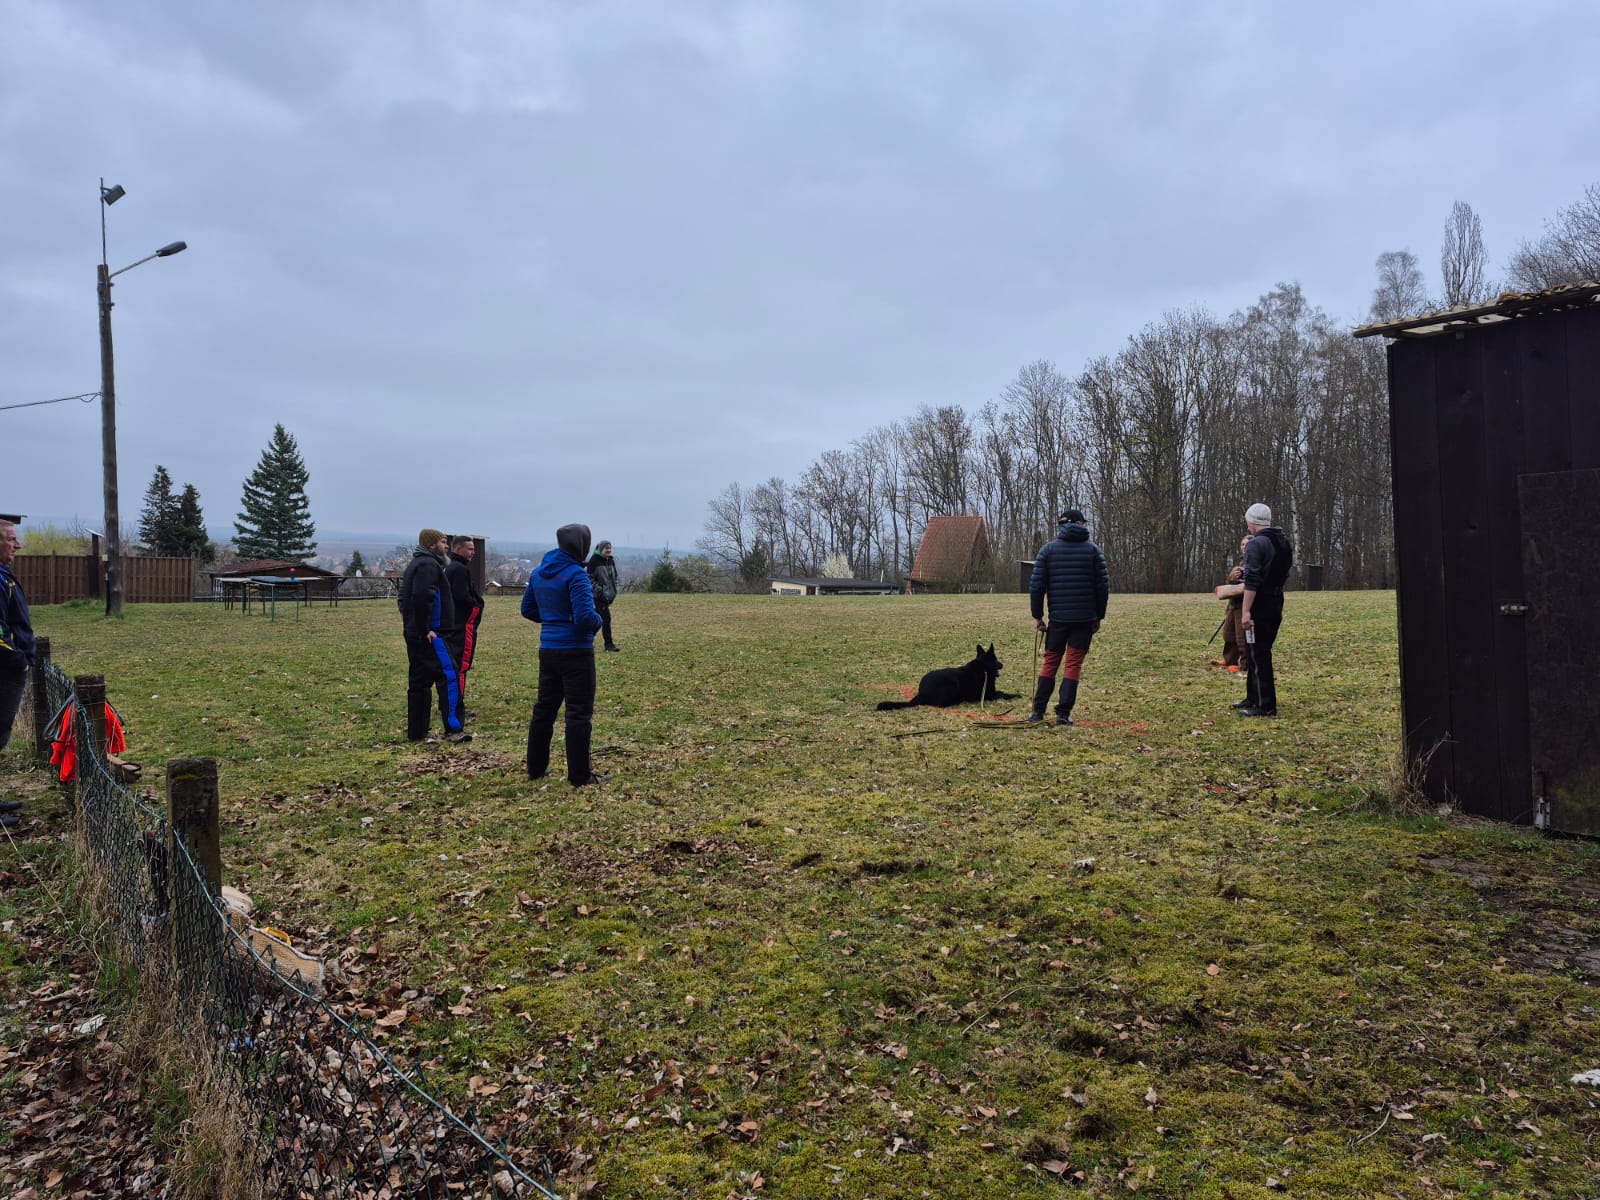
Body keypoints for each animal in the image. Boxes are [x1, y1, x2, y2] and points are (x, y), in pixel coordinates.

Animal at [877, 643, 1020, 710]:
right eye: (996, 659)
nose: (1002, 664)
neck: (983, 668)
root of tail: (922, 692)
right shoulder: (988, 695)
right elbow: (1002, 693)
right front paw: (1016, 695)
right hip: (952, 683)